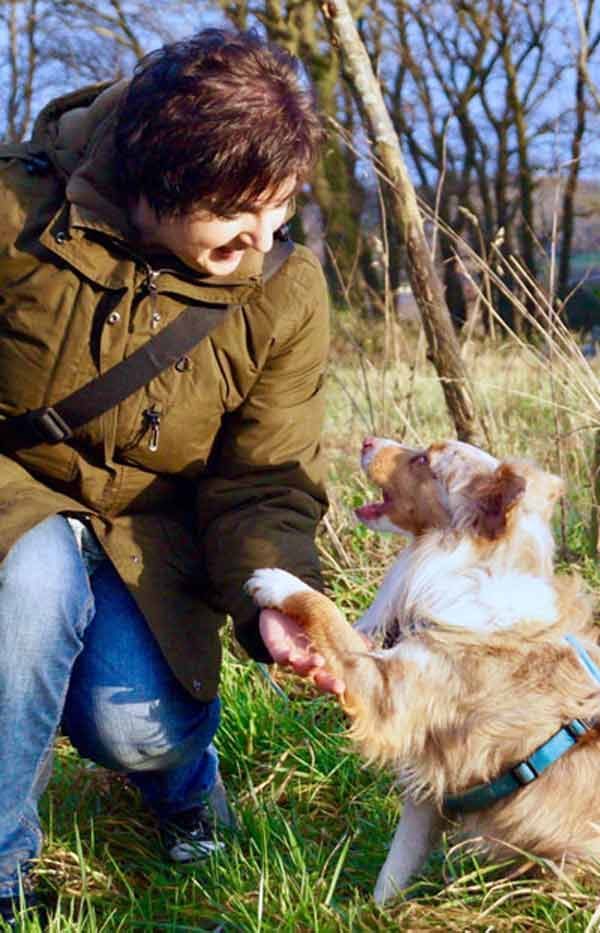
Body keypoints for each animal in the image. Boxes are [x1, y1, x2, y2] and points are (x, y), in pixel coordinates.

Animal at [245, 436, 600, 904]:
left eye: (424, 461)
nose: (367, 441)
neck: (472, 568)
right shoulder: (430, 788)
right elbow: (395, 868)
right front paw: (374, 912)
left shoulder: (388, 692)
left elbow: (326, 614)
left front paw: (279, 583)